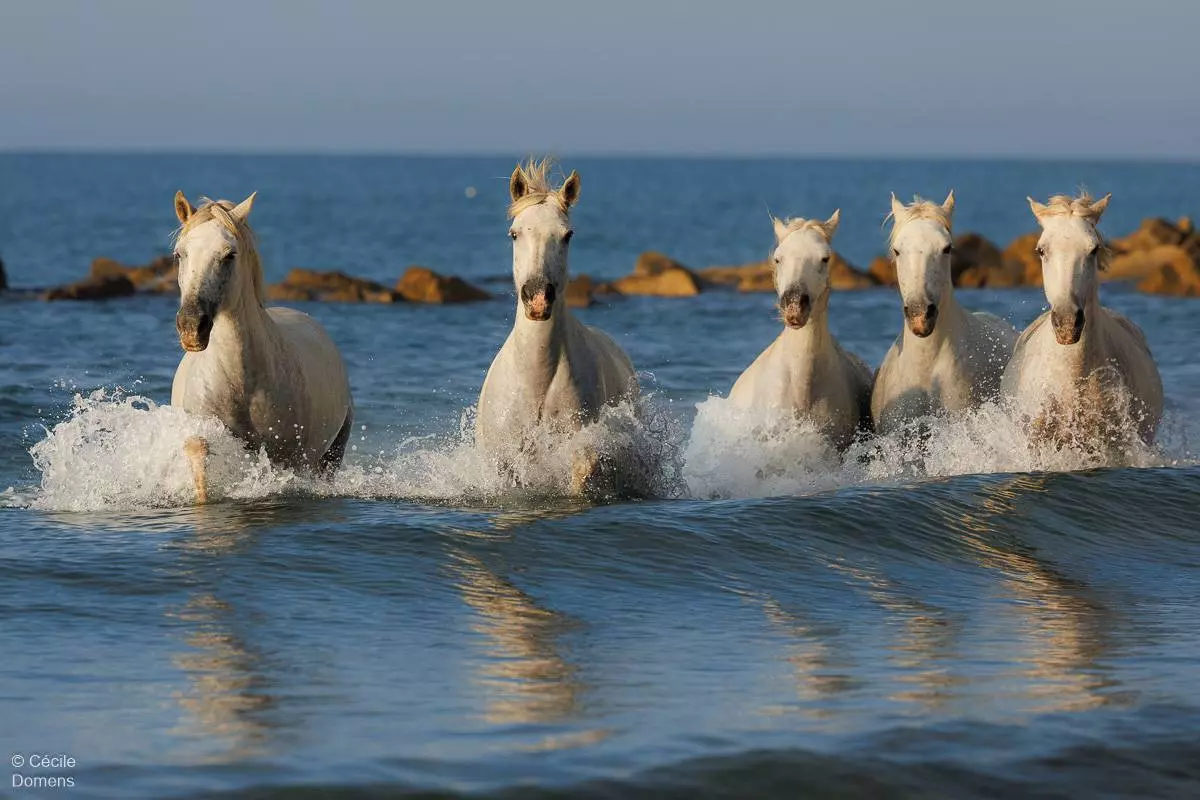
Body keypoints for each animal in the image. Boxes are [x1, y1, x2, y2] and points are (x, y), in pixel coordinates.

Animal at [170, 191, 353, 502]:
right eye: (179, 254)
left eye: (229, 254)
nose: (192, 327)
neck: (241, 382)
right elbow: (199, 456)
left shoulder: (287, 456)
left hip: (331, 454)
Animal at [475, 158, 639, 497]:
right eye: (514, 234)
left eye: (568, 234)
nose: (538, 298)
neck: (536, 380)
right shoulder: (504, 459)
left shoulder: (580, 448)